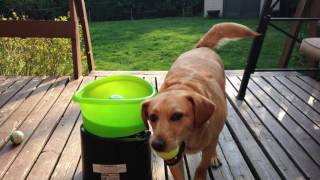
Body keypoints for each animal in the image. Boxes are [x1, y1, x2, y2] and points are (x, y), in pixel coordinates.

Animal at [142, 22, 258, 180]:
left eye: (177, 116)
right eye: (152, 117)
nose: (156, 145)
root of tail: (202, 47)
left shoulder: (208, 146)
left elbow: (202, 167)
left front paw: (205, 166)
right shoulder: (175, 161)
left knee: (214, 143)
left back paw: (214, 157)